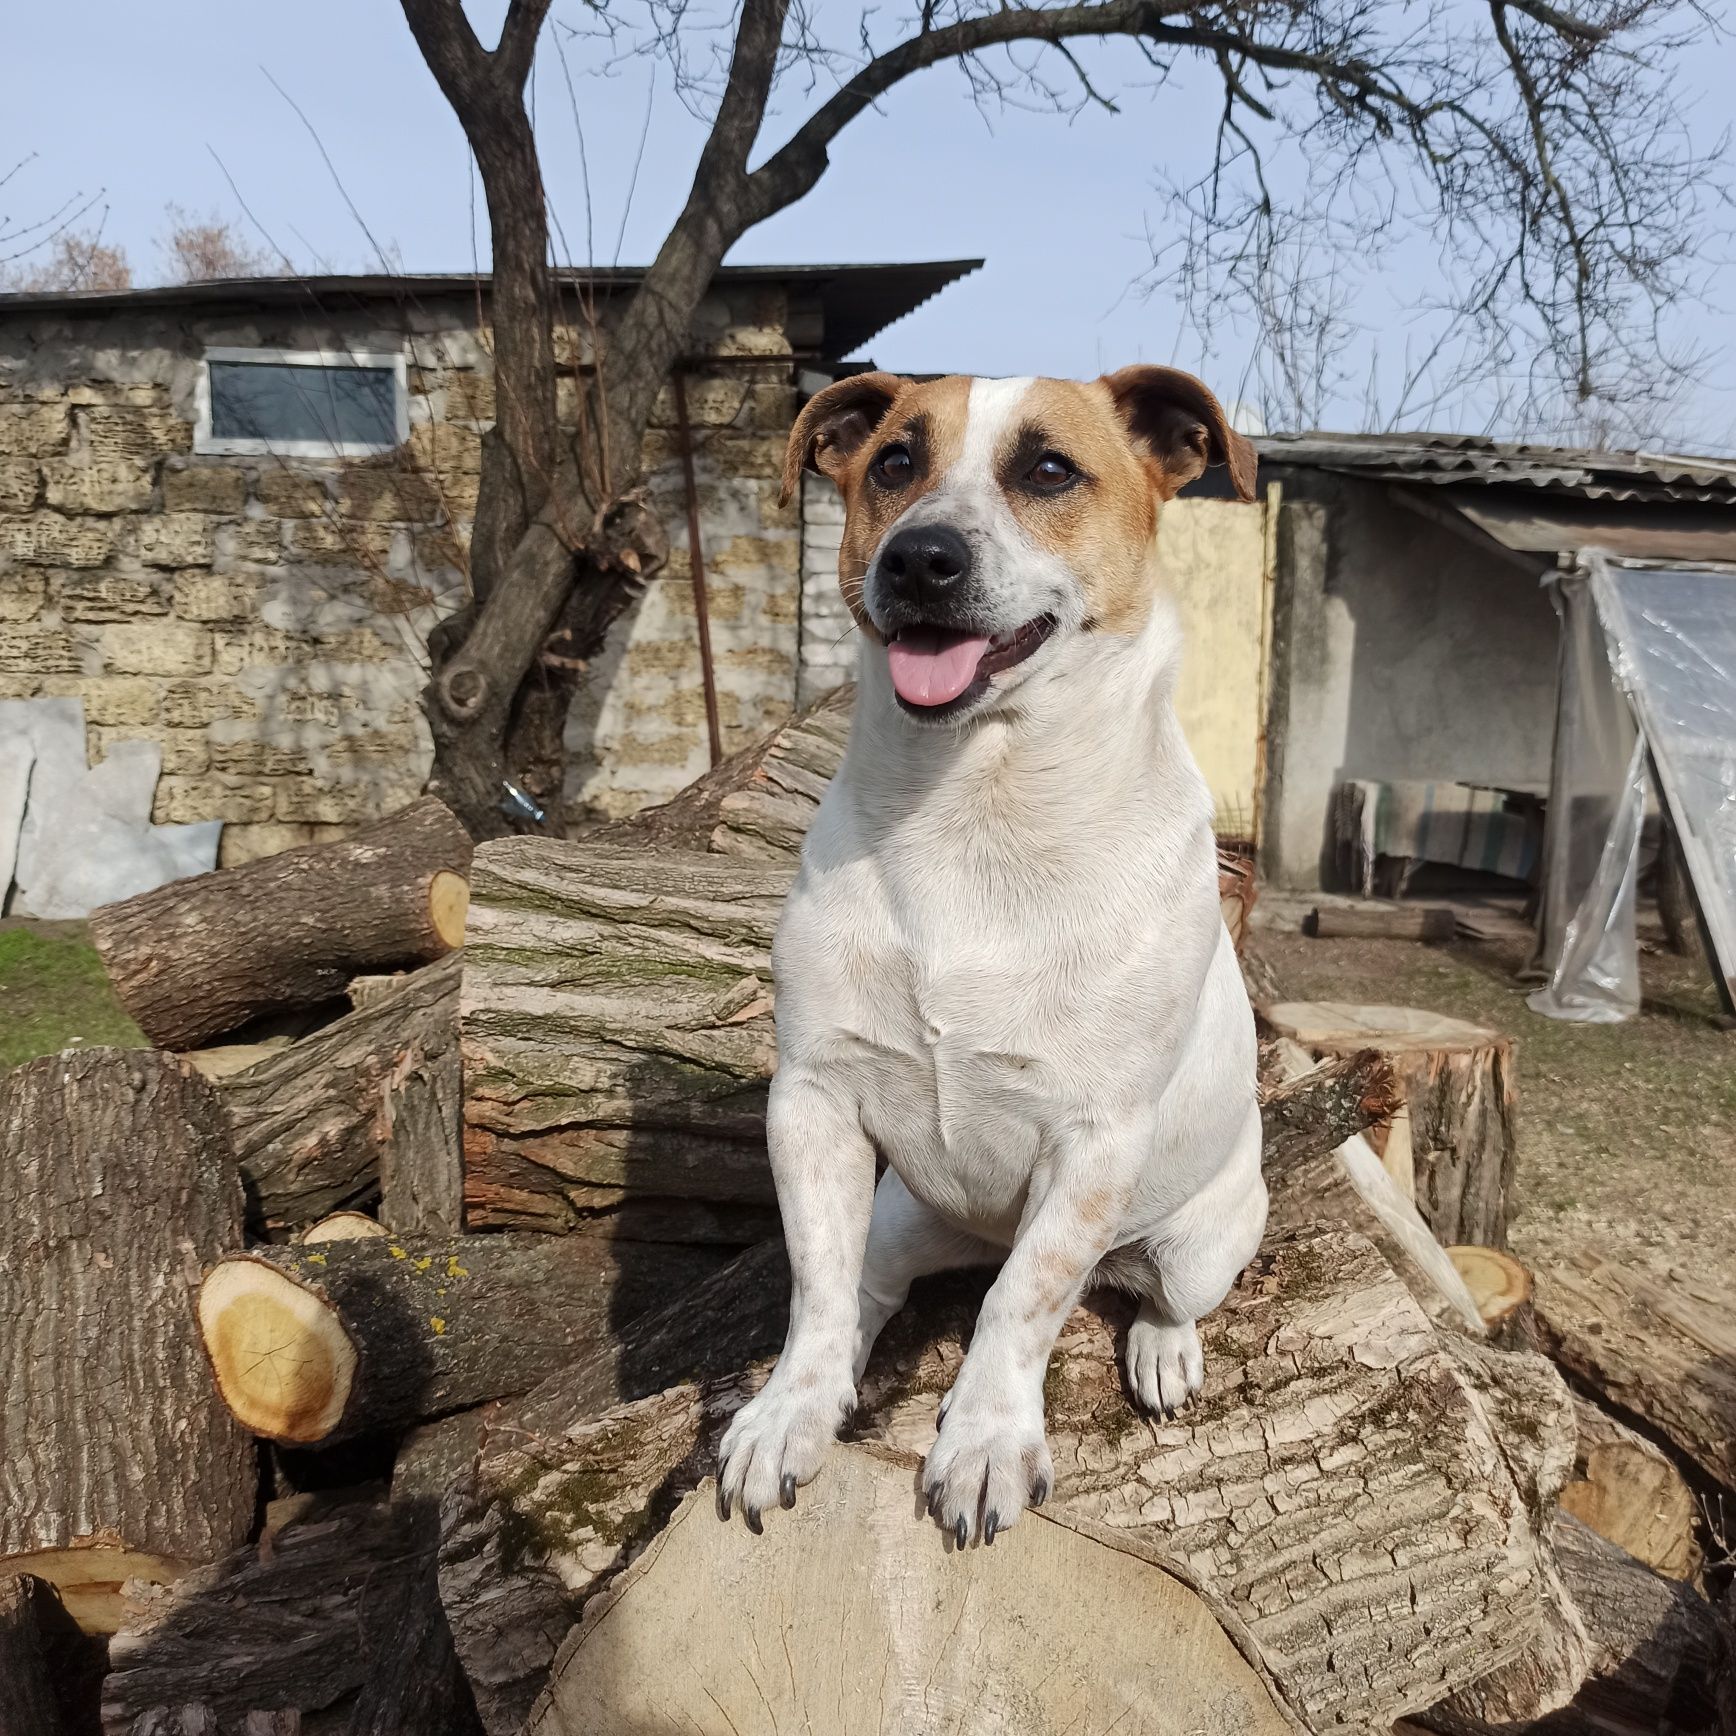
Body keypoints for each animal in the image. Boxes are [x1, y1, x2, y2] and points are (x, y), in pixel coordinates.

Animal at [711, 362, 1270, 1548]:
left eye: (1049, 468)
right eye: (892, 461)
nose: (919, 557)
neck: (972, 809)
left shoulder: (1094, 1141)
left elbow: (1023, 1301)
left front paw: (982, 1444)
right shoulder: (812, 1099)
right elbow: (815, 1286)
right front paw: (786, 1413)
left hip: (1202, 1238)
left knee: (1149, 1291)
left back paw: (1161, 1345)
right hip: (897, 1218)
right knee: (867, 1288)